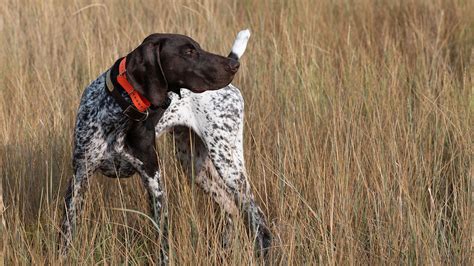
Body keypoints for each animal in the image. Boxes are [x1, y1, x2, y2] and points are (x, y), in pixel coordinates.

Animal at [60, 29, 270, 262]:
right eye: (188, 52)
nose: (233, 66)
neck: (119, 112)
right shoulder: (80, 178)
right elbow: (67, 234)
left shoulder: (154, 182)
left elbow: (163, 242)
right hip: (193, 164)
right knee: (230, 209)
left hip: (228, 163)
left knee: (258, 219)